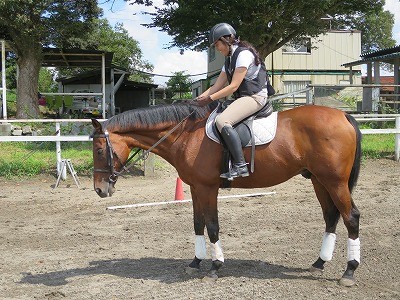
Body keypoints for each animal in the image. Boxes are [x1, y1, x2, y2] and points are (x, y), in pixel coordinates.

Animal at [90, 102, 362, 286]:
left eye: (100, 150)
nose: (100, 190)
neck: (186, 135)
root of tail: (342, 115)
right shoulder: (195, 187)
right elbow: (197, 223)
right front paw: (195, 262)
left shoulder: (208, 188)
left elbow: (212, 226)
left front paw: (215, 266)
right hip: (318, 180)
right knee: (330, 216)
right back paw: (319, 263)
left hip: (334, 182)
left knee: (351, 217)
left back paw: (349, 271)